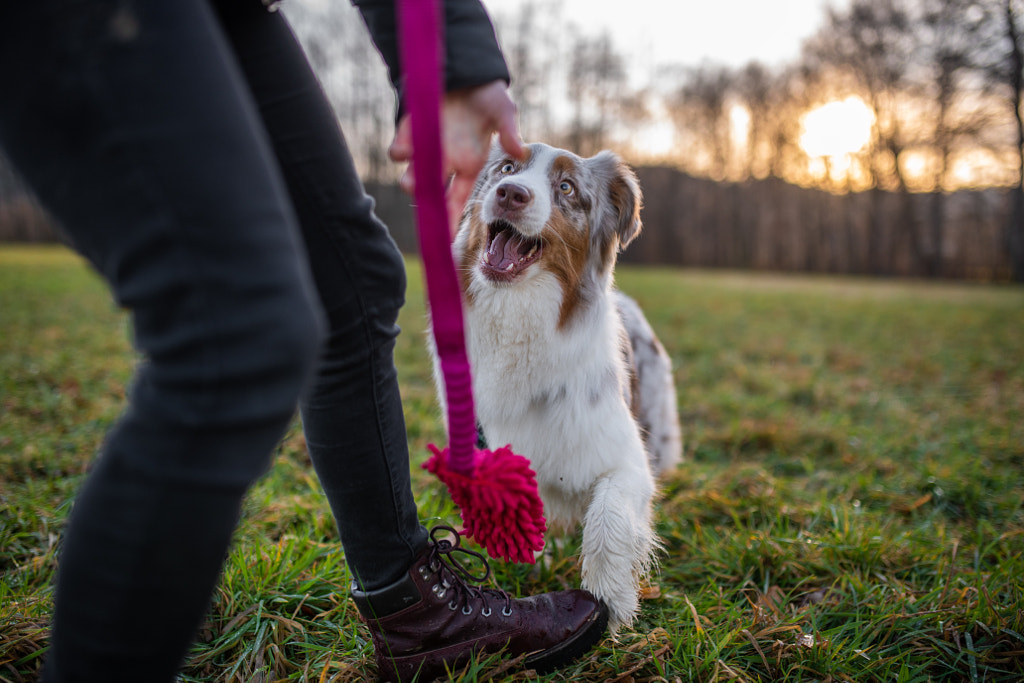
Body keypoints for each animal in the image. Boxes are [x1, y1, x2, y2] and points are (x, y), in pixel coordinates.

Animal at [430, 143, 679, 630]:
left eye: (566, 187)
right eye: (506, 168)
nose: (510, 193)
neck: (520, 313)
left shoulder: (626, 460)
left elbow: (609, 513)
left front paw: (609, 599)